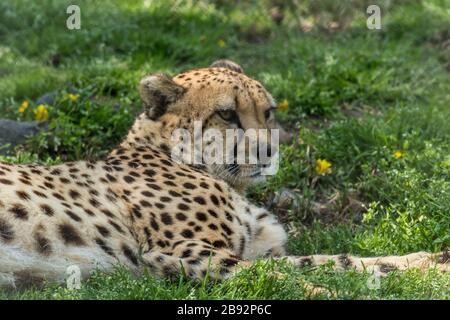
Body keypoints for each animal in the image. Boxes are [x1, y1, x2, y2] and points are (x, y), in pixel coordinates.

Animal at [0, 59, 450, 288]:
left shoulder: (256, 249)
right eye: (227, 114)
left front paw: (430, 262)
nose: (269, 151)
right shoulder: (175, 253)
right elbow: (282, 276)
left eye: (268, 111)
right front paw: (317, 291)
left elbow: (334, 259)